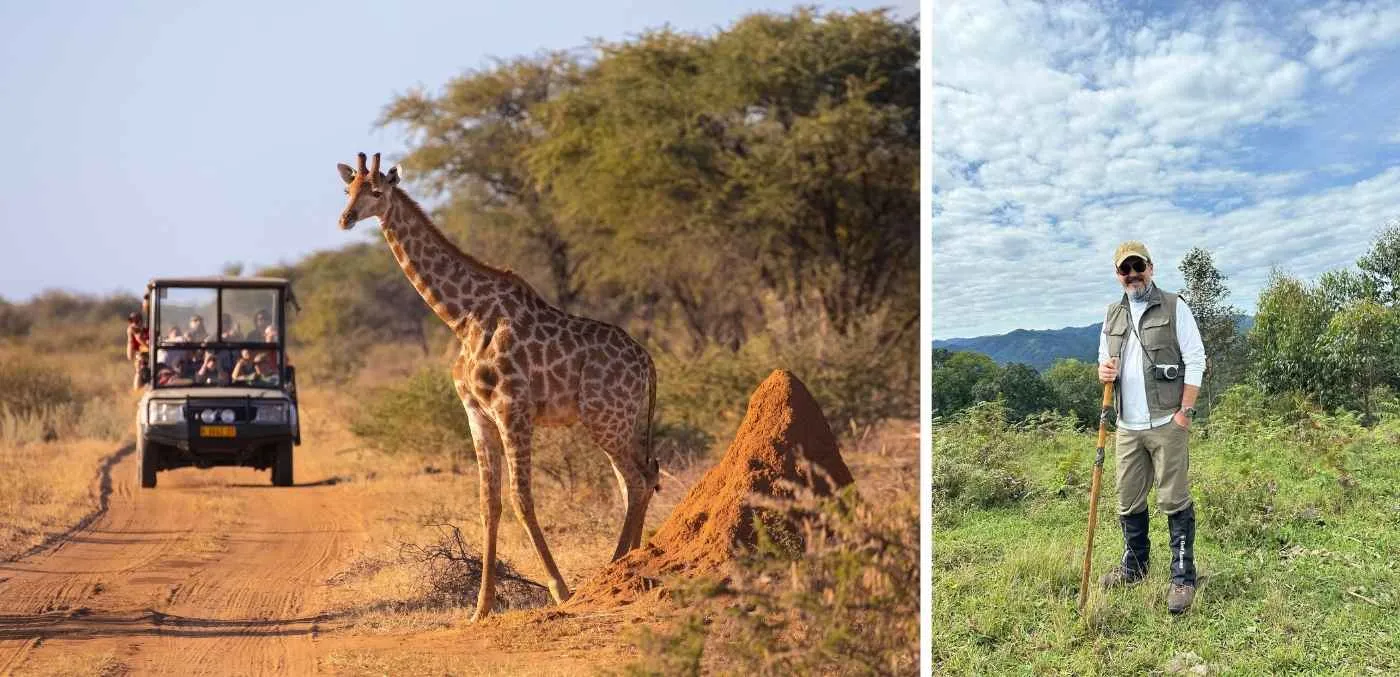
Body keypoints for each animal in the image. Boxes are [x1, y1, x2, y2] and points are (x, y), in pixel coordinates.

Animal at [336, 152, 660, 621]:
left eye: (376, 191)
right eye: (348, 190)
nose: (345, 219)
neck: (461, 317)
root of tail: (648, 361)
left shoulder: (513, 409)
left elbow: (521, 498)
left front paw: (561, 590)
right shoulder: (477, 415)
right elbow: (489, 504)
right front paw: (481, 607)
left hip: (605, 419)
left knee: (636, 480)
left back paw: (616, 567)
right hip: (622, 420)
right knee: (641, 477)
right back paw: (631, 561)